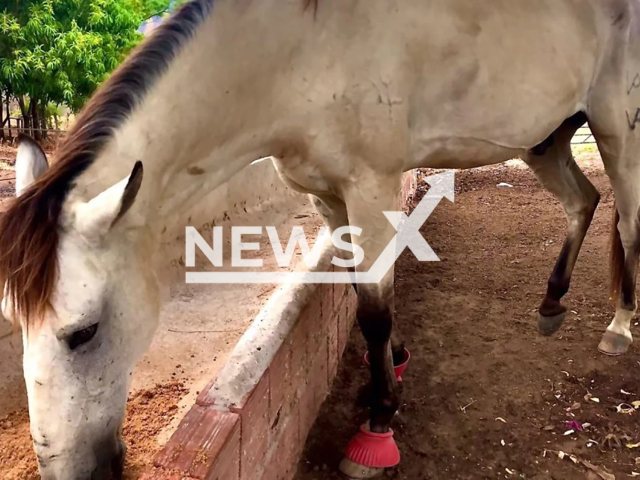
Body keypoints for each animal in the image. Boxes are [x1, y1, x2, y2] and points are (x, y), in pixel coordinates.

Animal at [1, 0, 639, 478]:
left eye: (83, 333)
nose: (71, 473)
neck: (305, 50)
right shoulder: (328, 198)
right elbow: (360, 295)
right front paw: (394, 366)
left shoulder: (371, 187)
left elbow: (375, 309)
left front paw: (378, 424)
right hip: (546, 140)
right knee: (583, 203)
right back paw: (551, 304)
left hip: (617, 130)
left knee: (629, 227)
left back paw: (618, 329)